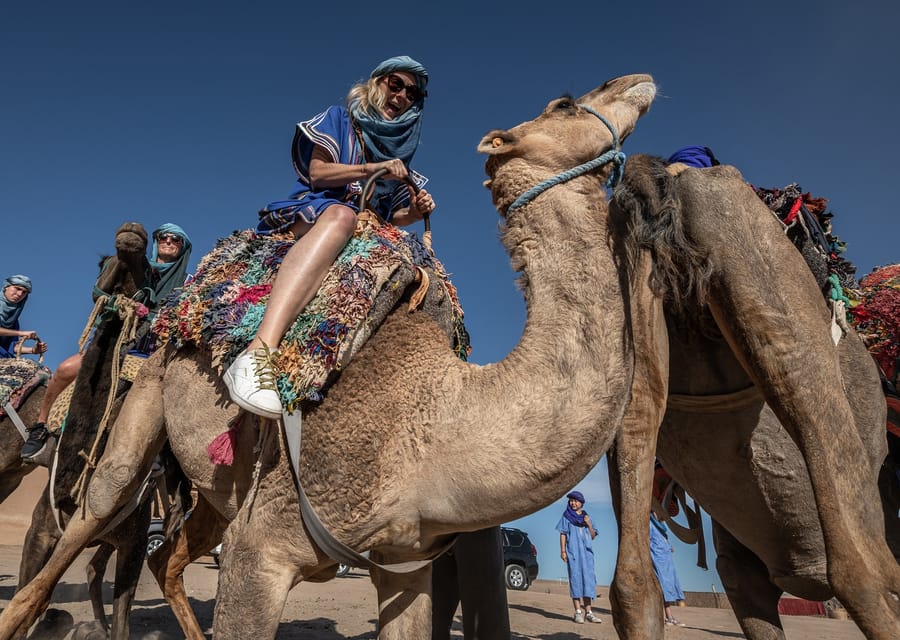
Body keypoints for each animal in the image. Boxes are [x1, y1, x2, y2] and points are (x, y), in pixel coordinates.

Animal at [0, 74, 666, 640]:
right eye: (564, 104)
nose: (635, 80)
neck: (434, 421)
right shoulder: (263, 548)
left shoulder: (403, 561)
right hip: (146, 403)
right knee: (86, 522)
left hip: (214, 484)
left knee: (168, 557)